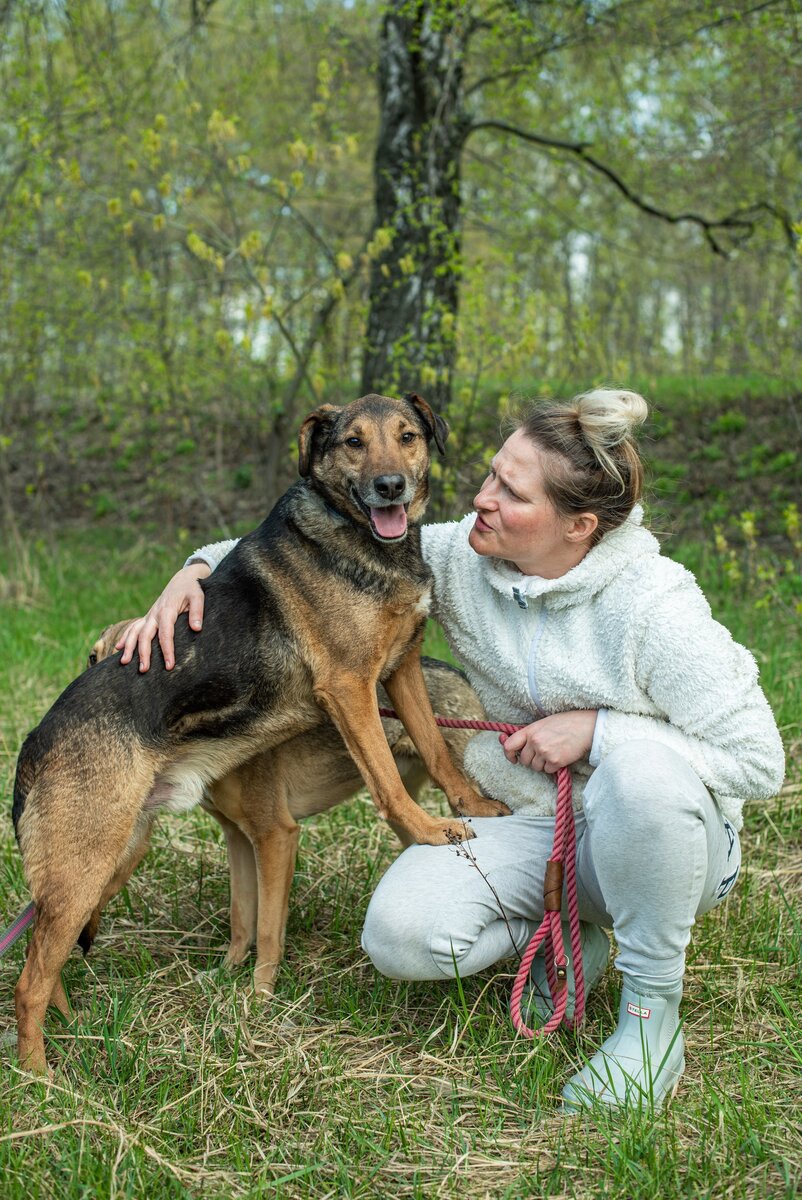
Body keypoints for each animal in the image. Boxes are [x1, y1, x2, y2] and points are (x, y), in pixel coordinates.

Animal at [12, 391, 504, 1070]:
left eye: (408, 436)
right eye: (353, 442)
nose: (390, 487)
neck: (365, 543)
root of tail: (36, 740)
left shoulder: (401, 667)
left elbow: (435, 747)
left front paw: (470, 803)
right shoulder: (348, 687)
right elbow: (385, 780)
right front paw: (430, 829)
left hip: (108, 862)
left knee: (45, 962)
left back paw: (69, 1038)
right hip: (85, 866)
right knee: (28, 981)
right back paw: (43, 1077)